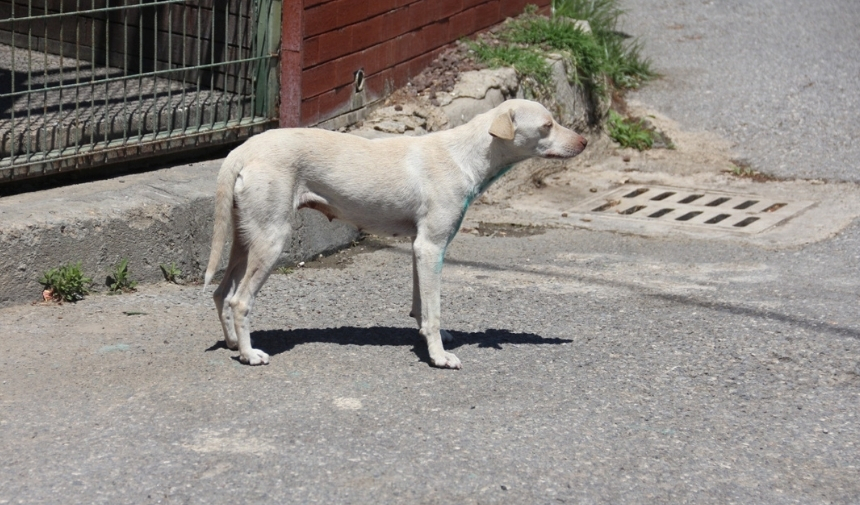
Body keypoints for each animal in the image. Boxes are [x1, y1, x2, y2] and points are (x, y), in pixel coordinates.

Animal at [205, 98, 588, 368]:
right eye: (547, 125)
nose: (584, 141)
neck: (465, 155)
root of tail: (242, 149)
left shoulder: (421, 247)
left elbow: (421, 306)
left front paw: (431, 339)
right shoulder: (431, 247)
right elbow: (434, 310)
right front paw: (439, 357)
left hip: (245, 240)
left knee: (221, 293)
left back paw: (234, 344)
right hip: (271, 241)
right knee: (240, 300)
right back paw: (250, 354)